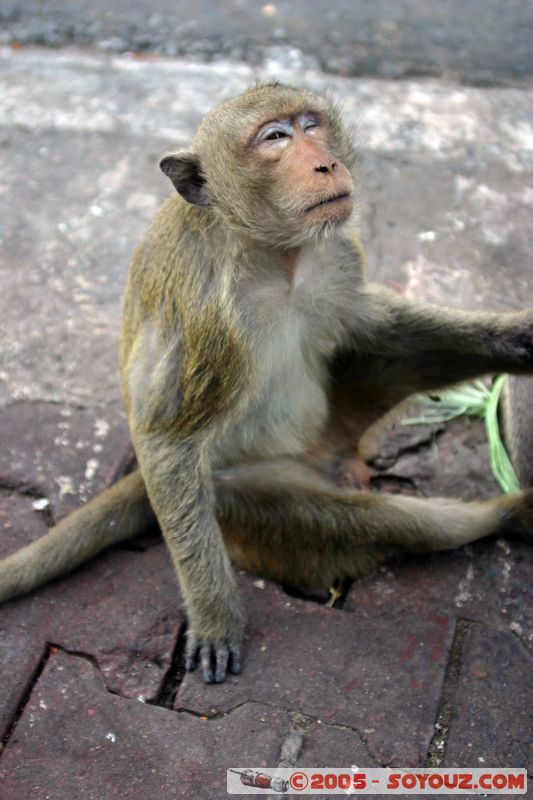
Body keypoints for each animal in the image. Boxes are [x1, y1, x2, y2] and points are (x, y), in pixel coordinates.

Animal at [1, 83, 532, 685]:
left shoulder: (339, 255)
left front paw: (518, 338)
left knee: (384, 355)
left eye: (310, 125)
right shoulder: (208, 314)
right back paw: (505, 515)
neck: (274, 254)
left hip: (337, 422)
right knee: (371, 524)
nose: (326, 162)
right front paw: (214, 618)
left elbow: (376, 325)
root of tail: (320, 458)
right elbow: (167, 439)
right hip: (244, 501)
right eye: (275, 137)